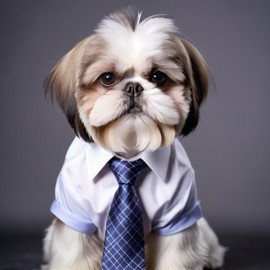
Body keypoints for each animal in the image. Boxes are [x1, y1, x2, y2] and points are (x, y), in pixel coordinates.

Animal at [42, 8, 226, 270]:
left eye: (158, 76)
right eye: (107, 78)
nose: (133, 87)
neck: (129, 152)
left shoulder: (178, 216)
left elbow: (176, 253)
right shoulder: (73, 216)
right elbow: (75, 254)